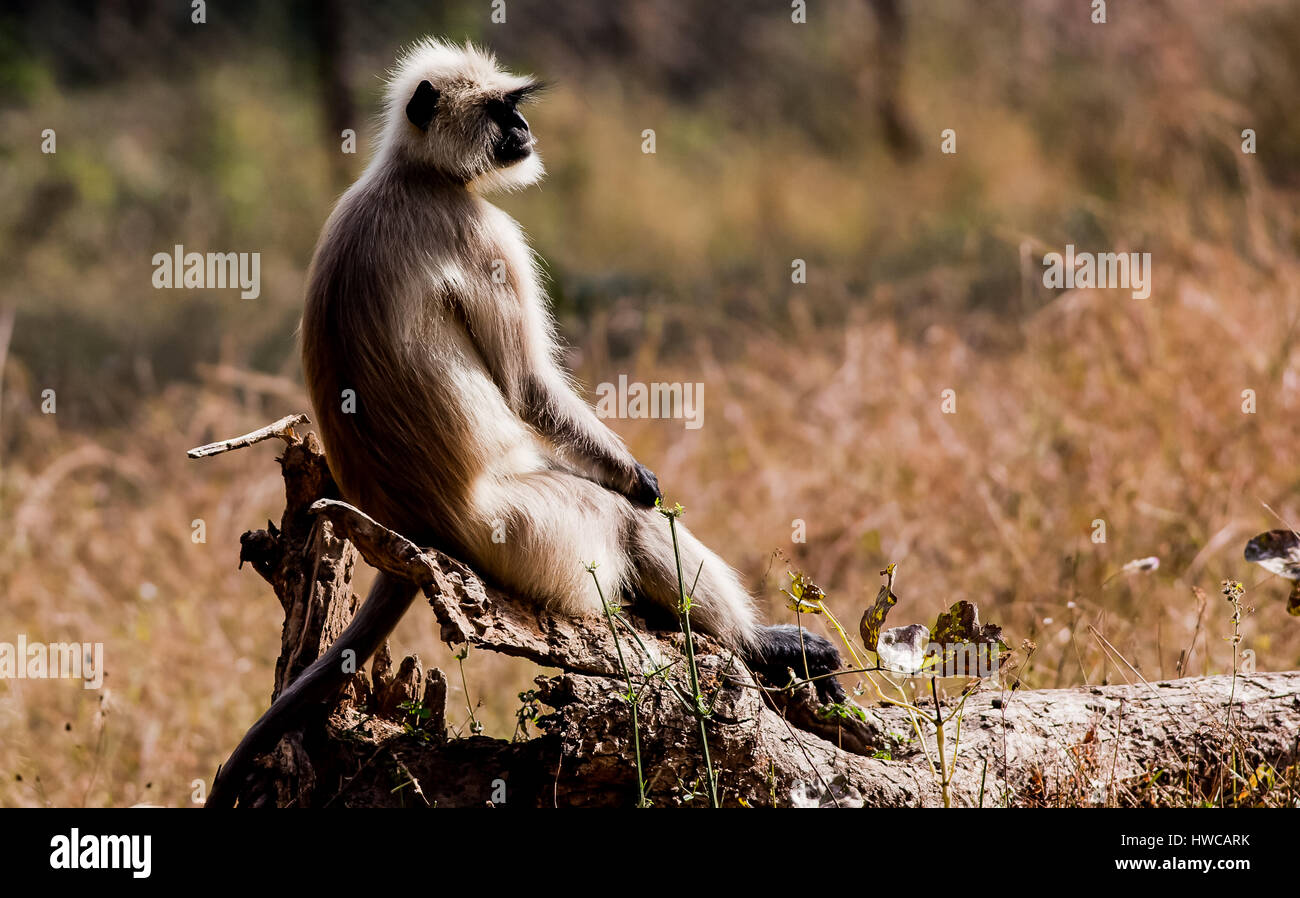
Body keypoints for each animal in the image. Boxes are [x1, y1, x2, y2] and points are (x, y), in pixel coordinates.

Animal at [205, 38, 842, 805]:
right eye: (497, 108)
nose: (523, 129)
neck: (412, 172)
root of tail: (411, 526)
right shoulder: (482, 230)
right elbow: (531, 388)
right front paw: (641, 478)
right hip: (528, 532)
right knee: (626, 521)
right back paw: (760, 646)